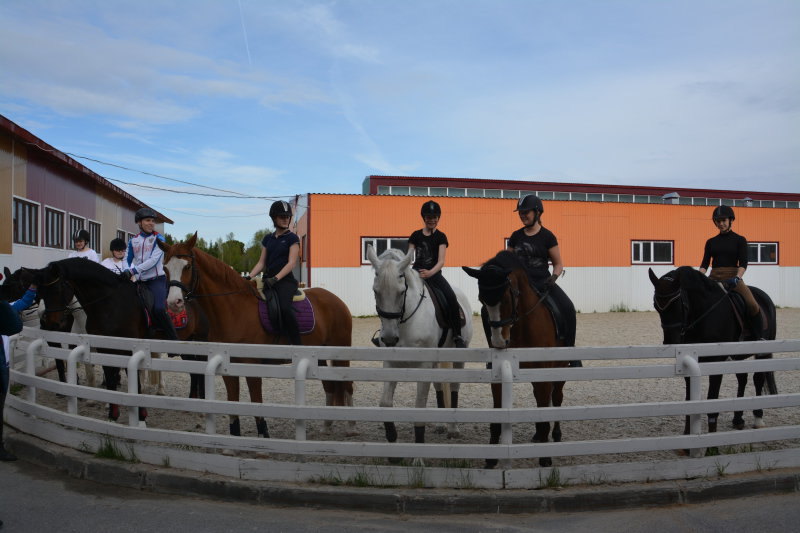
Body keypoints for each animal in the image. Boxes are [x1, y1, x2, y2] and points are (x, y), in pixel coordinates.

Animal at [31, 258, 209, 420]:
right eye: (40, 292)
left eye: (57, 288)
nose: (48, 322)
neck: (110, 302)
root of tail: (190, 297)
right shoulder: (104, 348)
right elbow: (109, 379)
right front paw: (112, 413)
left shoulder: (128, 349)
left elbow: (133, 381)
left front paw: (140, 414)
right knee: (194, 371)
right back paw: (193, 402)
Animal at [159, 233, 354, 436]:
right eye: (165, 268)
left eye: (187, 266)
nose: (174, 302)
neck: (235, 309)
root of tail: (336, 300)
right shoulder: (228, 368)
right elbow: (232, 403)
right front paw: (235, 435)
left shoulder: (251, 365)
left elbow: (256, 401)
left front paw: (263, 433)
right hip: (320, 354)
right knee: (329, 385)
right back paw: (327, 424)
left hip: (341, 350)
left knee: (347, 385)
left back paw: (350, 426)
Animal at [368, 245, 472, 444]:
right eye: (376, 291)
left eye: (401, 292)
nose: (390, 339)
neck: (406, 321)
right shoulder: (390, 363)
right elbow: (385, 402)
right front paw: (391, 436)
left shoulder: (423, 364)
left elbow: (420, 403)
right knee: (439, 387)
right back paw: (440, 425)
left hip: (458, 356)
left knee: (454, 387)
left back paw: (453, 429)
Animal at [462, 250, 576, 466]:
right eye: (482, 300)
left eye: (507, 298)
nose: (499, 341)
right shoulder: (498, 372)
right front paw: (491, 458)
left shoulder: (544, 373)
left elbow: (546, 411)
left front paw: (545, 459)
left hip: (560, 370)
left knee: (557, 398)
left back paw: (555, 435)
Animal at [648, 264, 776, 434]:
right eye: (656, 306)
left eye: (678, 305)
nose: (670, 342)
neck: (702, 312)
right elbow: (689, 399)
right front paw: (687, 433)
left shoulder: (717, 360)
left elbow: (712, 399)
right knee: (742, 378)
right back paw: (738, 419)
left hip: (762, 352)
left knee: (758, 378)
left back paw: (758, 419)